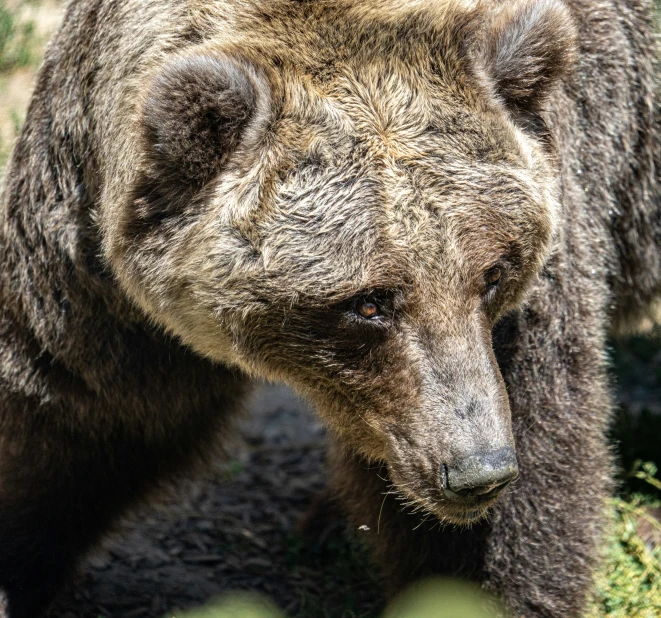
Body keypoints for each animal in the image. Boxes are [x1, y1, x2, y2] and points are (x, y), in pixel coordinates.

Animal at [0, 0, 656, 612]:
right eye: (369, 303)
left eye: (492, 274)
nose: (478, 470)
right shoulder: (90, 247)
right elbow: (81, 403)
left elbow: (537, 433)